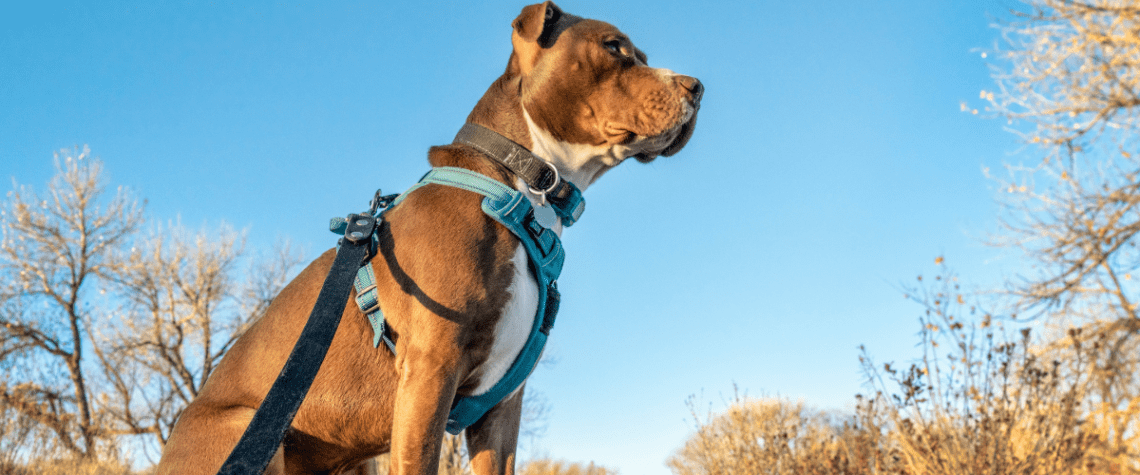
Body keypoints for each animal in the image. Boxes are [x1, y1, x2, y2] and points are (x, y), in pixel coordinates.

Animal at [156, 3, 697, 473]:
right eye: (614, 47)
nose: (698, 87)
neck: (519, 186)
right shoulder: (430, 372)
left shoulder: (501, 410)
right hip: (246, 428)